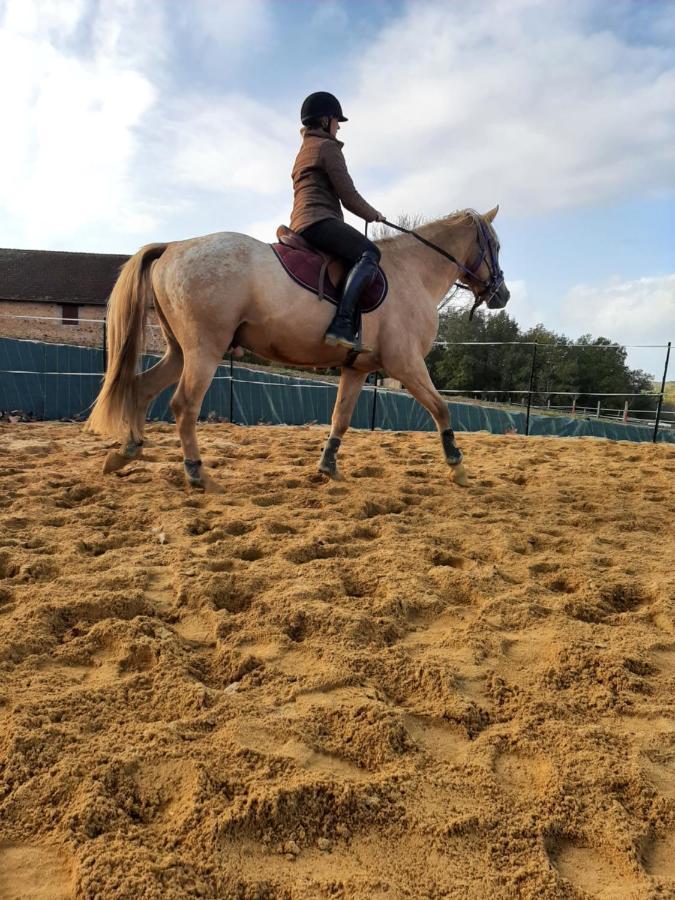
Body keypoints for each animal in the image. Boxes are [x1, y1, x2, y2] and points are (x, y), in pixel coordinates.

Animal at [86, 207, 508, 488]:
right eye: (496, 246)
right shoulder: (406, 364)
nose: (501, 295)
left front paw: (327, 467)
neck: (412, 273)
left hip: (179, 352)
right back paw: (196, 473)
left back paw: (126, 452)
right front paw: (457, 465)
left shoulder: (356, 368)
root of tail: (174, 246)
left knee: (141, 387)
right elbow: (441, 408)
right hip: (204, 352)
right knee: (183, 406)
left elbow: (340, 418)